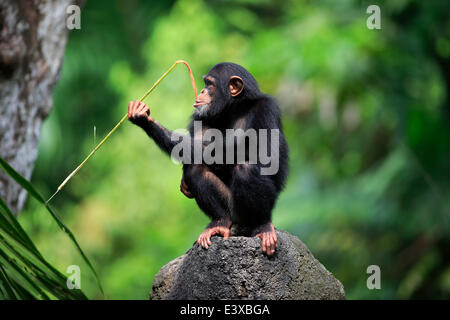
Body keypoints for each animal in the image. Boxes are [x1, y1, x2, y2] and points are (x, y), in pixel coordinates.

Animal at [127, 62, 288, 256]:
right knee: (197, 168)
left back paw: (262, 225)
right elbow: (196, 146)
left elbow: (266, 156)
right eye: (204, 84)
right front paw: (144, 118)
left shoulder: (266, 108)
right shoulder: (201, 117)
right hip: (232, 212)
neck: (234, 108)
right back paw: (220, 222)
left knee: (246, 169)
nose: (202, 91)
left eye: (210, 84)